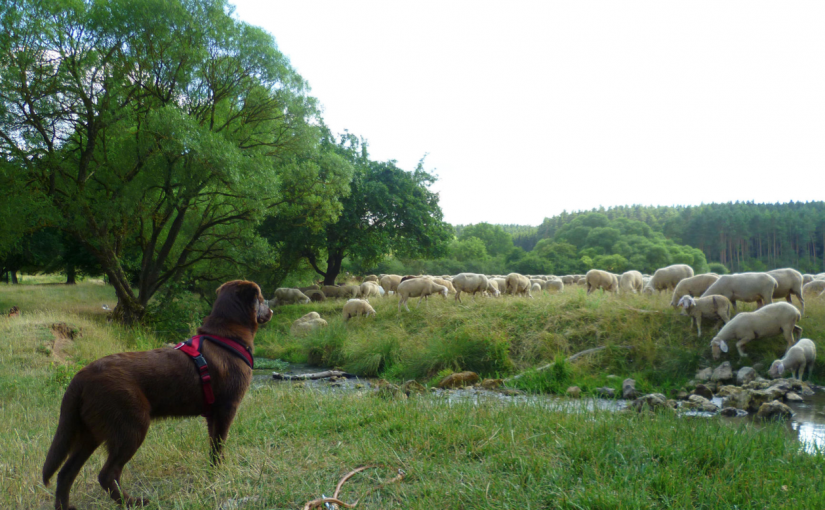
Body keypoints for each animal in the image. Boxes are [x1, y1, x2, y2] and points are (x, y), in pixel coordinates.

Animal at [41, 280, 272, 508]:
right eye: (261, 299)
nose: (271, 310)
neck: (226, 336)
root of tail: (80, 378)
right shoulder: (227, 407)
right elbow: (218, 445)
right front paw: (218, 473)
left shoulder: (212, 414)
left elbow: (213, 444)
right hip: (131, 427)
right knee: (107, 474)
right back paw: (133, 502)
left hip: (89, 432)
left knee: (65, 472)